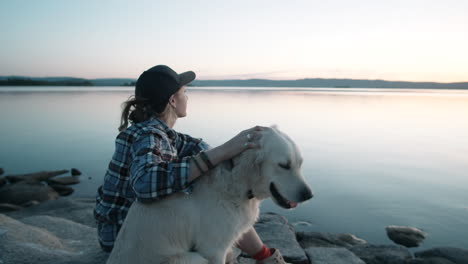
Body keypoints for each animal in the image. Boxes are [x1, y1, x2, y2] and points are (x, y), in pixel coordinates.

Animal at [105, 127, 310, 262]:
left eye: (300, 164)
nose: (308, 195)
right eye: (284, 165)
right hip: (192, 259)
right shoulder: (213, 249)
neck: (237, 184)